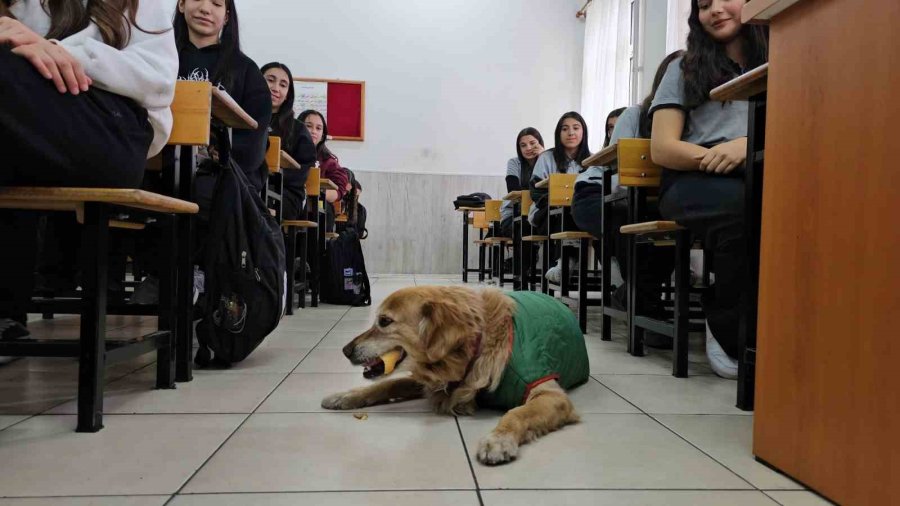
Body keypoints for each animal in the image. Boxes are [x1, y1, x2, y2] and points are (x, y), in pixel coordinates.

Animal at [324, 286, 592, 464]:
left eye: (385, 321)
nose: (345, 350)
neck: (474, 348)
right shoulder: (432, 381)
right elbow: (386, 385)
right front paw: (345, 396)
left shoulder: (550, 393)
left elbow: (518, 413)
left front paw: (498, 439)